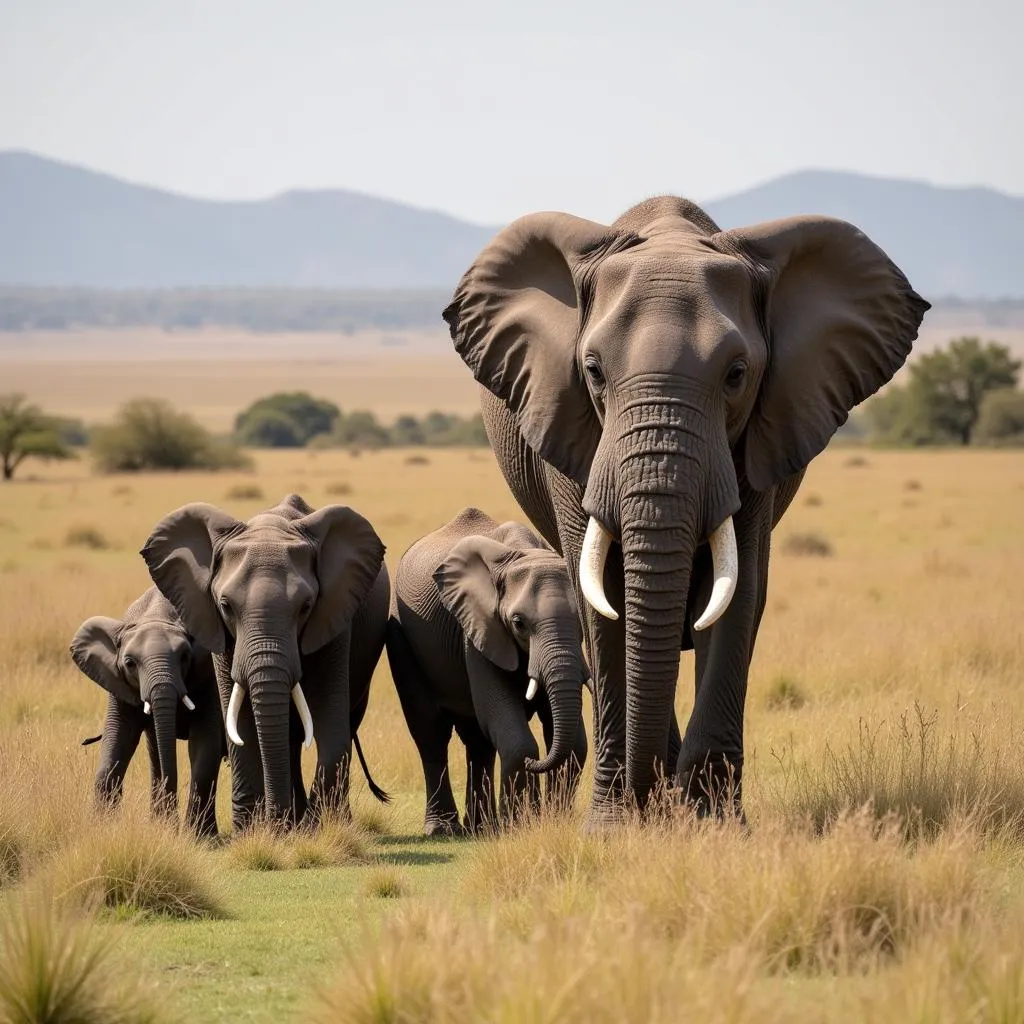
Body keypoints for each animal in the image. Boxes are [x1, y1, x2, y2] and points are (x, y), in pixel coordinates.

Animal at [70, 589, 226, 835]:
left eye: (185, 657)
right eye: (130, 663)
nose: (173, 828)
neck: (156, 615)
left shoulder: (209, 677)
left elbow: (205, 744)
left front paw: (199, 838)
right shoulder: (119, 684)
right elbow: (118, 739)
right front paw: (103, 829)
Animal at [140, 489, 387, 831]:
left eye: (306, 606)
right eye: (226, 605)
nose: (277, 822)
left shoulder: (335, 616)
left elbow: (331, 718)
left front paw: (312, 828)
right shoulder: (217, 627)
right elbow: (239, 717)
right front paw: (251, 830)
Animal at [385, 503, 593, 831]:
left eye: (582, 622)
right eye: (518, 623)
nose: (536, 767)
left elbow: (572, 743)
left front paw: (551, 822)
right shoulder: (476, 627)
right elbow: (511, 731)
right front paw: (520, 826)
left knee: (478, 740)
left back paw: (481, 827)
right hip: (400, 633)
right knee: (430, 732)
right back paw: (444, 828)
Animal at [444, 193, 933, 823]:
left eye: (737, 375)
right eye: (593, 371)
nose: (648, 793)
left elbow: (737, 593)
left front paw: (712, 823)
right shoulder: (571, 431)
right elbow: (603, 600)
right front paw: (615, 825)